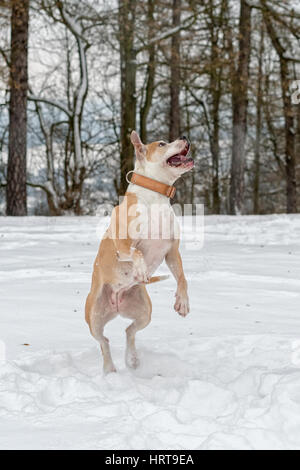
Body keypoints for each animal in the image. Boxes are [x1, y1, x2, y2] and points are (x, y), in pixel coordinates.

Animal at [85, 132, 195, 374]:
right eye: (162, 144)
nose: (184, 136)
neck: (156, 196)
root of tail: (116, 304)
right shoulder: (122, 244)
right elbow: (137, 252)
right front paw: (142, 269)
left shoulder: (172, 251)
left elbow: (182, 277)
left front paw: (182, 302)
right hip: (93, 315)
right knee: (103, 340)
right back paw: (109, 369)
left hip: (145, 312)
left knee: (129, 331)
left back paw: (133, 359)